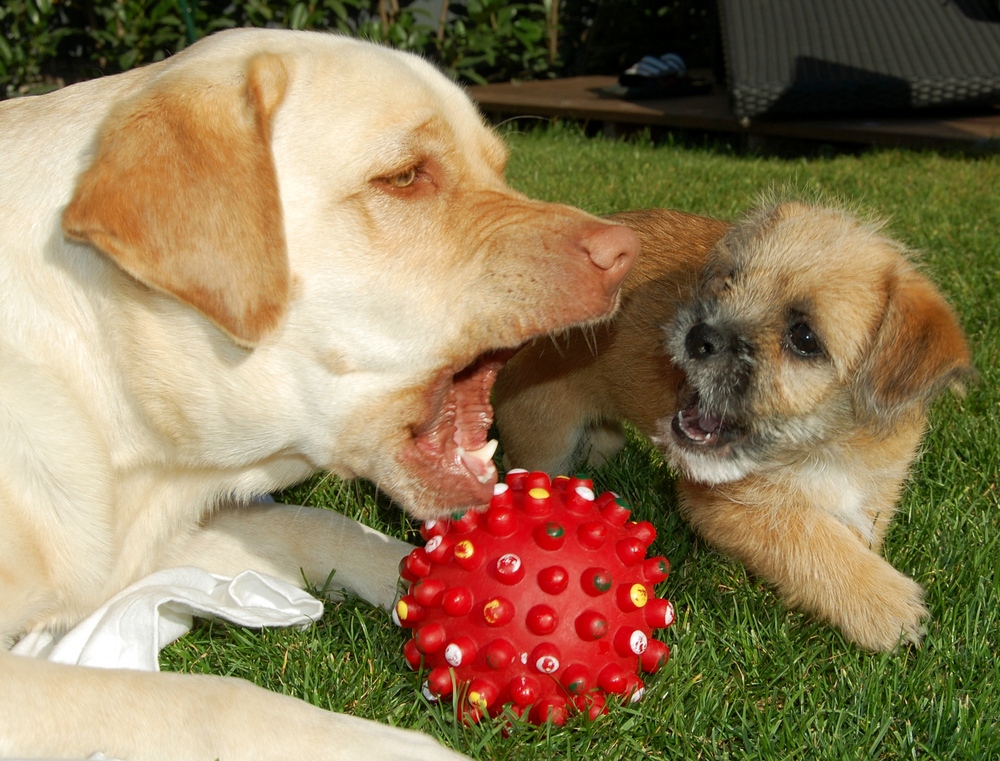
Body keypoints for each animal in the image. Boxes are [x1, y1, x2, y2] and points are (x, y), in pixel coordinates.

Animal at [0, 28, 640, 760]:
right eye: (404, 177)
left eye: (500, 168)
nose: (625, 252)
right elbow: (212, 698)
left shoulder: (157, 539)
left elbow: (323, 526)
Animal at [496, 203, 972, 652]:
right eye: (727, 284)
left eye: (804, 338)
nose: (698, 336)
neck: (827, 446)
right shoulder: (728, 504)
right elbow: (810, 538)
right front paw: (884, 604)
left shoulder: (868, 495)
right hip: (545, 432)